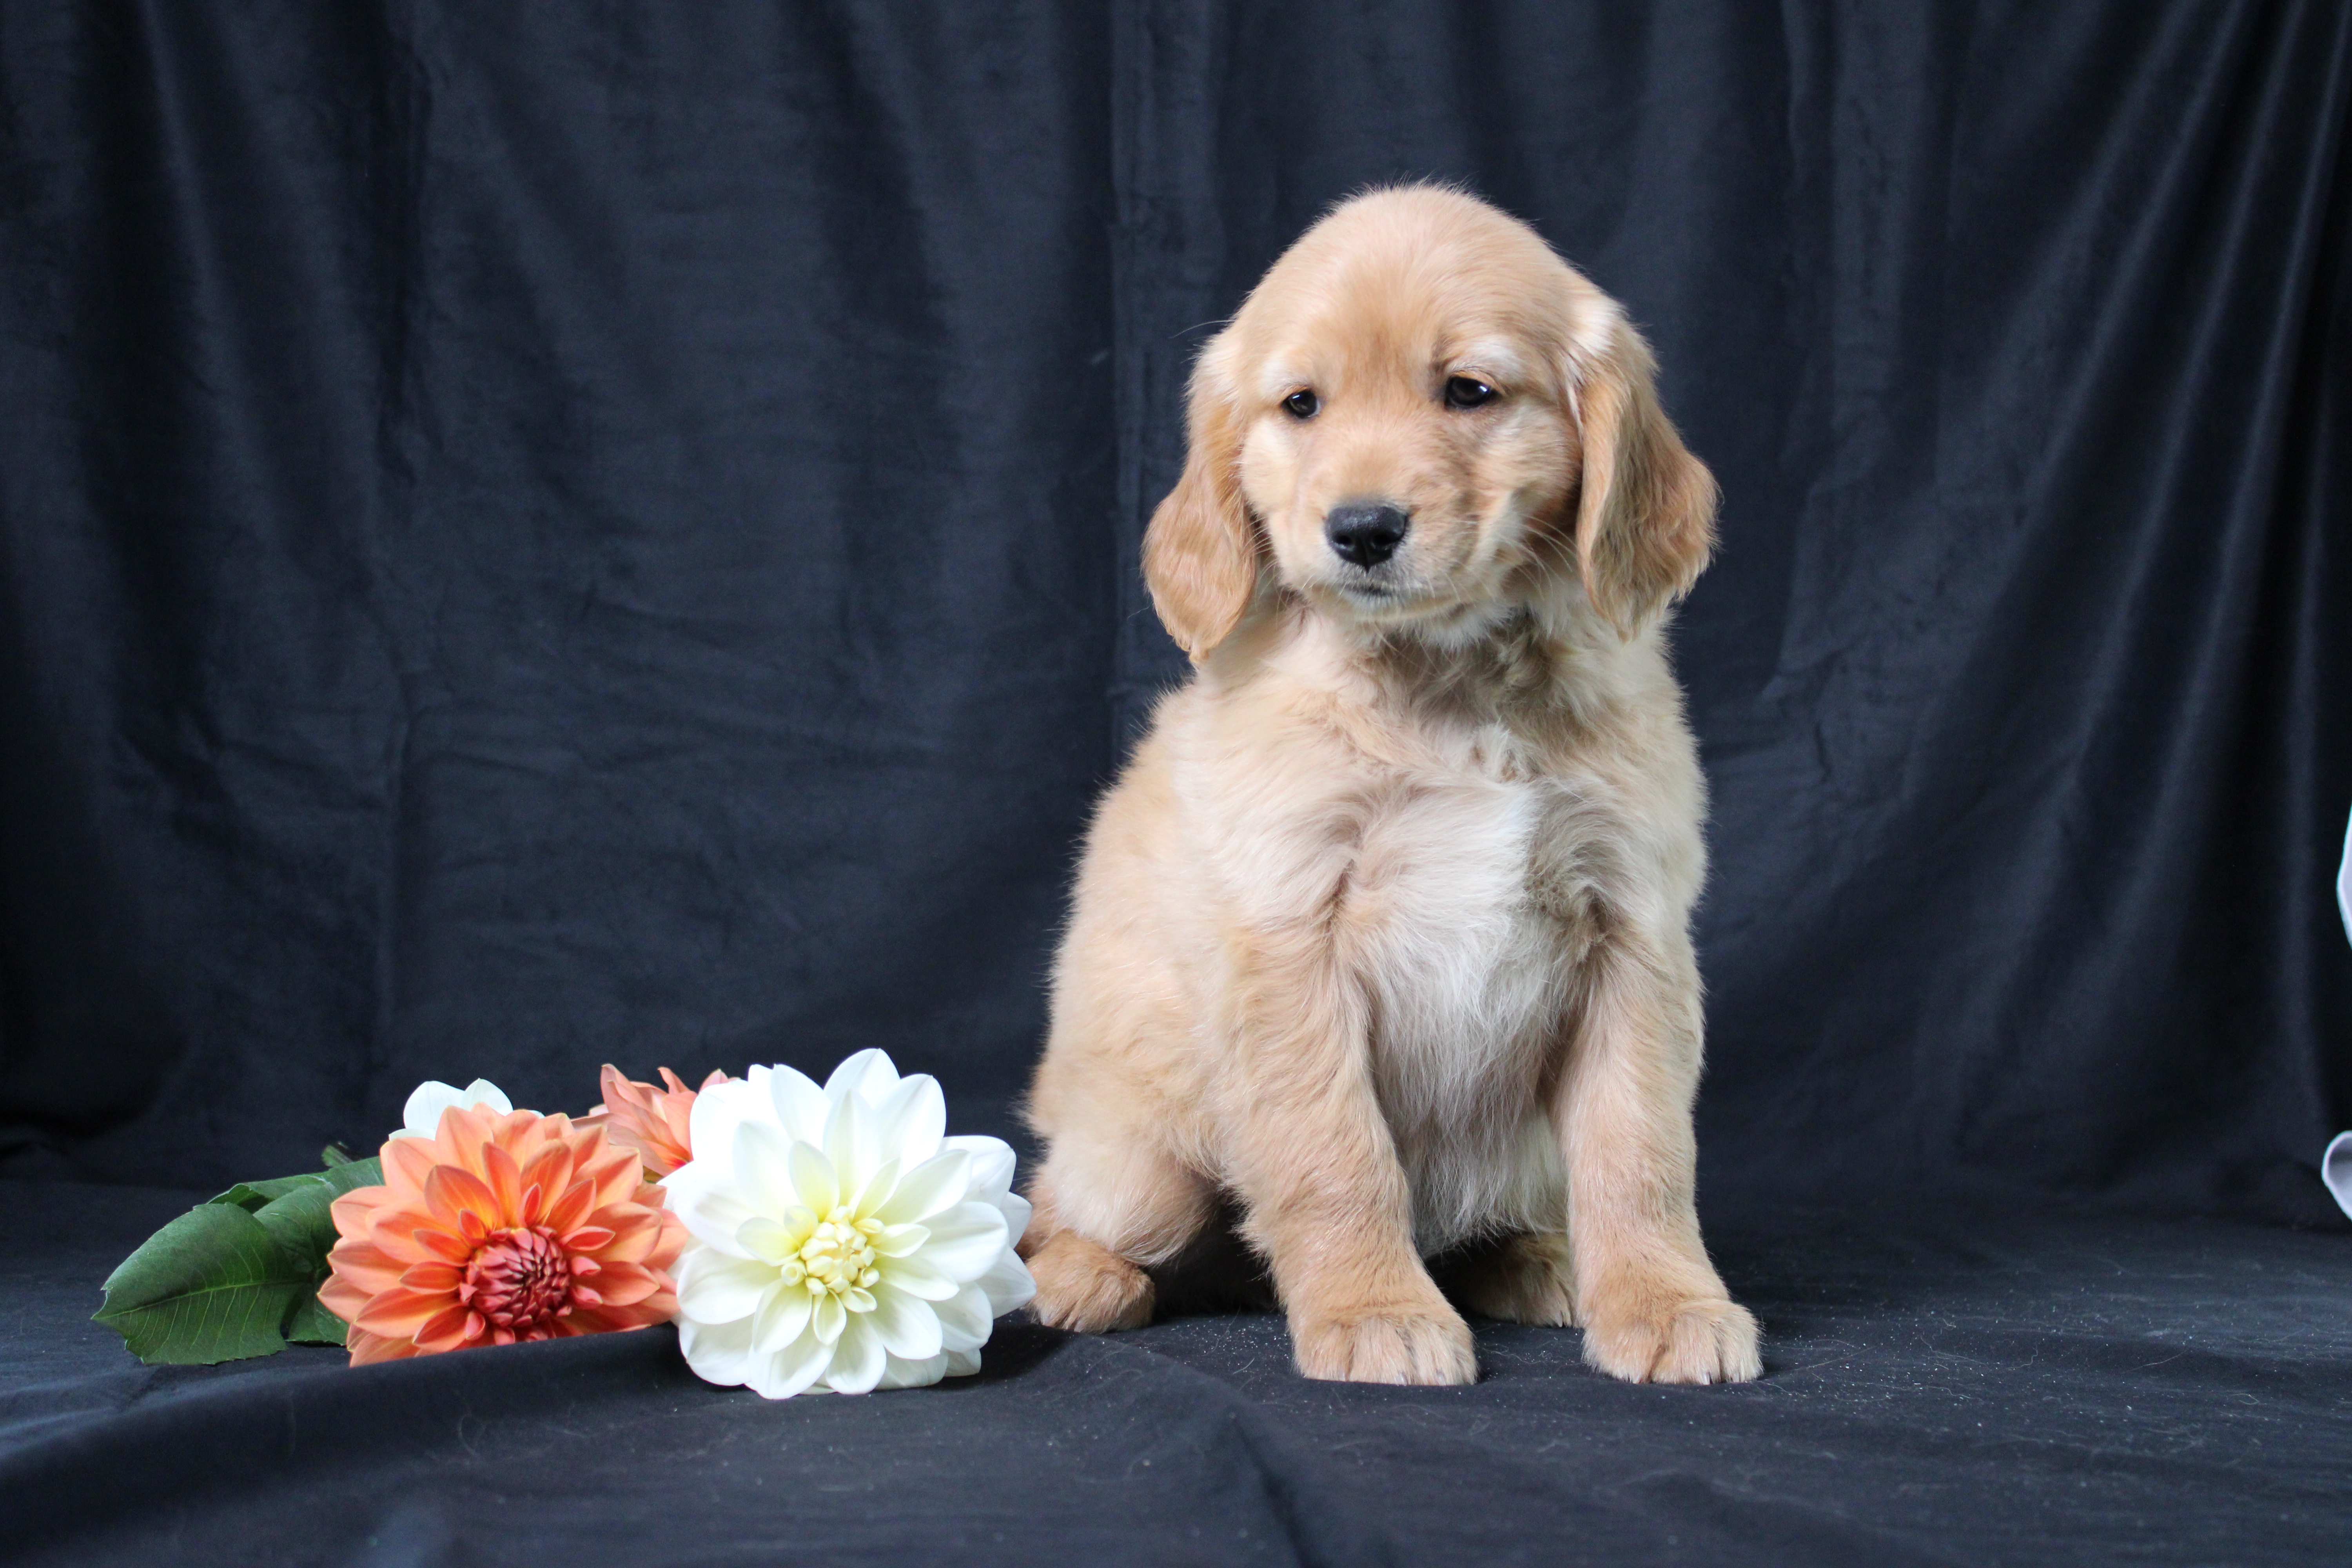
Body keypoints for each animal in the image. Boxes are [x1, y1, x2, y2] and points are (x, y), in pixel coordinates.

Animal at [1021, 184, 1759, 1382]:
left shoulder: (1632, 929)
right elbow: (1334, 1155)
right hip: (1142, 1164)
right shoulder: (1289, 935)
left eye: (1469, 392)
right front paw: (1373, 1310)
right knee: (1061, 1209)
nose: (1361, 529)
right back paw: (1080, 1277)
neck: (1448, 685)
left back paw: (1537, 1258)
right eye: (1301, 406)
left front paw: (1663, 1300)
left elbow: (1641, 1147)